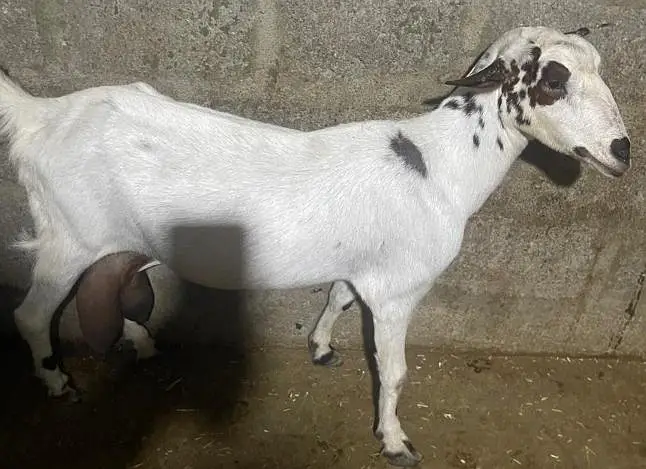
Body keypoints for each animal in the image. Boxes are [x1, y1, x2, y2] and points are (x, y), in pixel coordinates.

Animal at [1, 26, 630, 466]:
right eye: (553, 80)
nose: (622, 151)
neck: (440, 166)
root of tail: (41, 116)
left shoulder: (364, 267)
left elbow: (337, 298)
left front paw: (322, 348)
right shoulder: (399, 290)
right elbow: (394, 372)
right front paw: (395, 442)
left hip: (109, 239)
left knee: (119, 284)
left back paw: (142, 343)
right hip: (68, 235)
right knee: (31, 315)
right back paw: (58, 383)